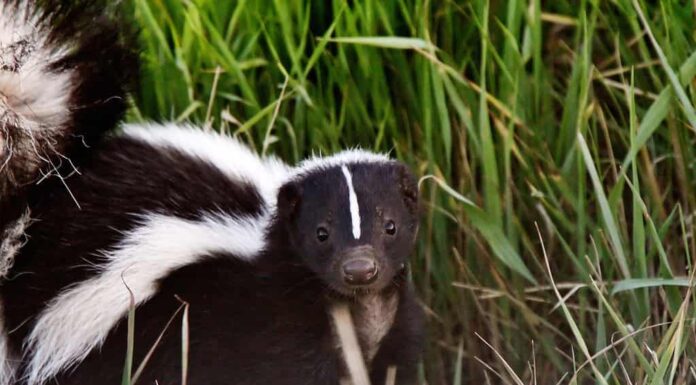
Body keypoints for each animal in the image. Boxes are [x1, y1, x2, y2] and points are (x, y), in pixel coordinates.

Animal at [0, 1, 424, 382]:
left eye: (390, 226)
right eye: (321, 233)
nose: (360, 269)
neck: (358, 310)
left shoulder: (393, 328)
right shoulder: (273, 323)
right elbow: (291, 368)